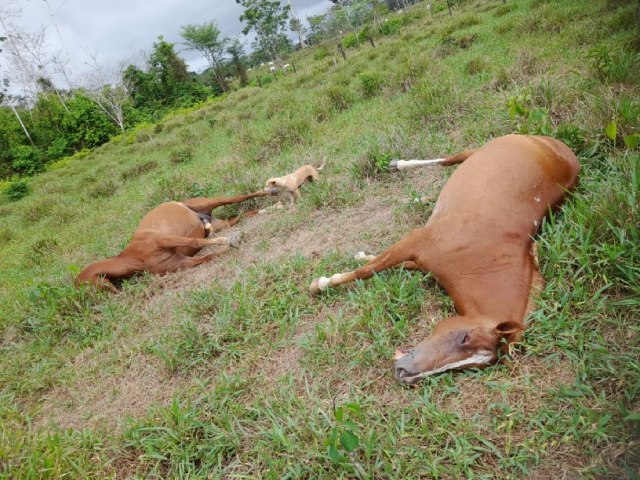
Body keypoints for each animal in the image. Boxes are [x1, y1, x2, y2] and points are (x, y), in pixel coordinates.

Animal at [76, 191, 274, 292]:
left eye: (87, 284)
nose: (117, 294)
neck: (135, 256)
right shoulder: (183, 262)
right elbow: (208, 257)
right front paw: (232, 243)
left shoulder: (164, 239)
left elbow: (194, 242)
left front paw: (231, 240)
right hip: (221, 224)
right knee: (243, 215)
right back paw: (272, 207)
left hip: (209, 202)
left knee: (238, 197)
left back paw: (272, 190)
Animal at [310, 135, 580, 386]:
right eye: (464, 338)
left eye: (470, 367)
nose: (404, 373)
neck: (483, 257)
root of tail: (558, 147)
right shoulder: (415, 241)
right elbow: (366, 271)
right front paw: (321, 284)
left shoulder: (420, 260)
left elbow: (384, 266)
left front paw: (360, 257)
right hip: (480, 148)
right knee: (447, 161)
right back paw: (399, 165)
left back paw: (419, 199)